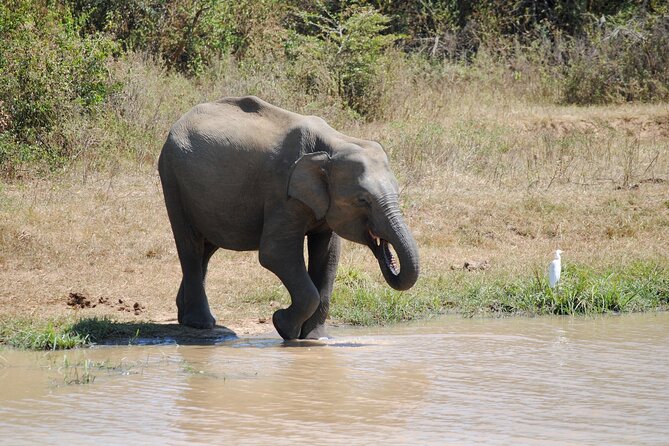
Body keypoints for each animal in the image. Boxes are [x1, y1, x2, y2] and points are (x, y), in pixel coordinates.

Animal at [158, 96, 419, 340]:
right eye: (363, 200)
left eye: (397, 194)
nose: (385, 250)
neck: (334, 145)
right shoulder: (281, 191)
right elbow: (275, 253)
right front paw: (283, 325)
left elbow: (329, 257)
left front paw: (315, 338)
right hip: (172, 178)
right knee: (190, 245)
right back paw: (200, 323)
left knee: (207, 247)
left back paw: (187, 315)